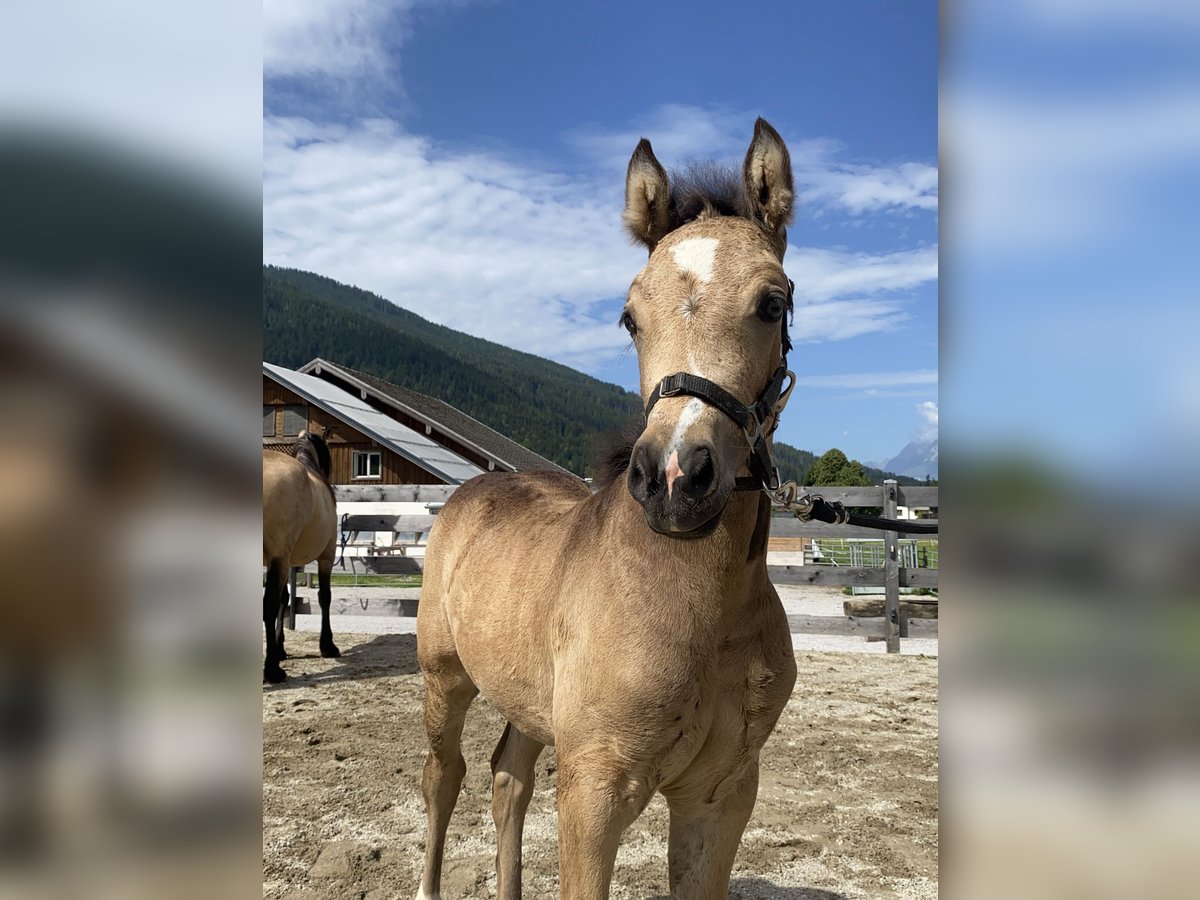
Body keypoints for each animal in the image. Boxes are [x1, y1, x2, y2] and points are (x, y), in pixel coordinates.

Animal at [261, 434, 338, 686]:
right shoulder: (326, 557)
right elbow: (325, 597)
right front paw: (328, 645)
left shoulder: (286, 561)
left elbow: (285, 600)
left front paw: (280, 649)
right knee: (267, 605)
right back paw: (272, 671)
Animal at [417, 120, 801, 900]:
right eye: (629, 317)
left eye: (771, 303)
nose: (675, 478)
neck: (704, 609)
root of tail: (475, 489)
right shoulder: (595, 791)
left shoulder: (721, 796)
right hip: (444, 677)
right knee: (445, 777)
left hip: (529, 698)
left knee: (507, 777)